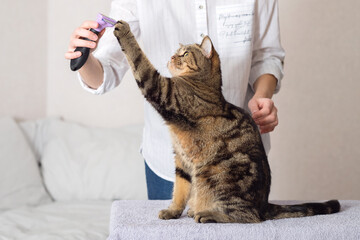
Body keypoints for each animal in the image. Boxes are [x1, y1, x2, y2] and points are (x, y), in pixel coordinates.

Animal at [113, 20, 340, 223]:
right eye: (177, 51)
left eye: (185, 54)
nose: (171, 56)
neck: (202, 84)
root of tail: (264, 205)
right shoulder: (182, 160)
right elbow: (179, 190)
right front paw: (172, 211)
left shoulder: (161, 89)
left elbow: (140, 60)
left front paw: (123, 30)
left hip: (216, 178)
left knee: (249, 217)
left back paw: (207, 214)